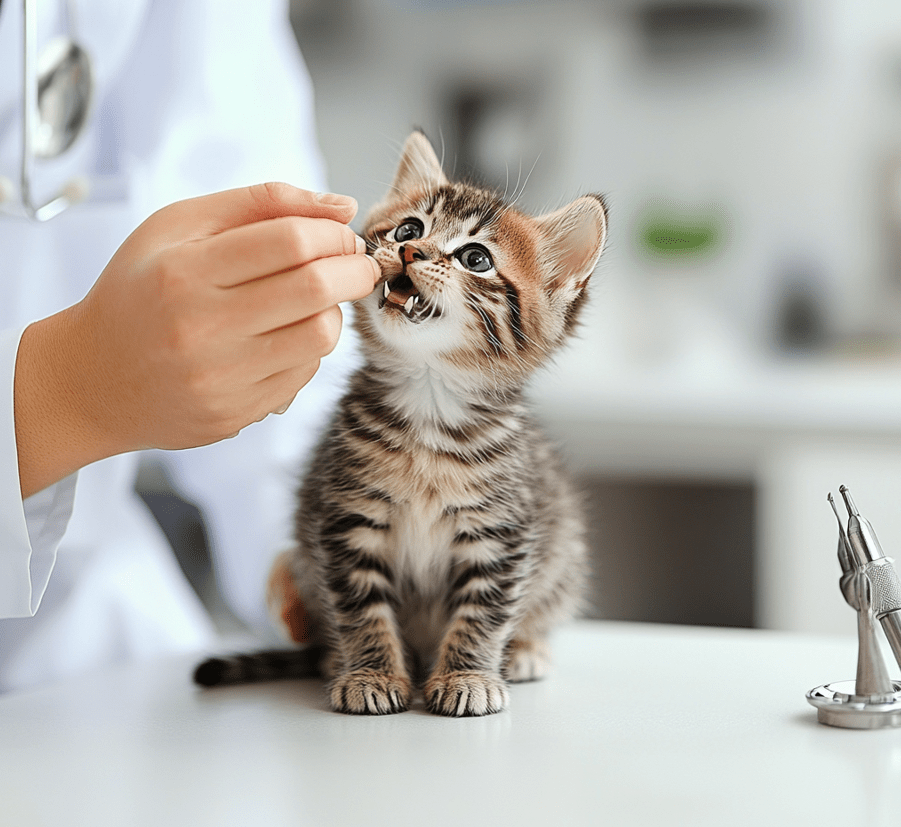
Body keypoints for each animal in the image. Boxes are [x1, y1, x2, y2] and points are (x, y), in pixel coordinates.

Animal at [194, 133, 608, 716]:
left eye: (476, 258)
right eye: (409, 229)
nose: (411, 252)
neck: (429, 405)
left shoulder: (500, 534)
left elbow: (483, 613)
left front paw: (466, 676)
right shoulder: (347, 520)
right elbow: (362, 608)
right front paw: (372, 673)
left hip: (564, 554)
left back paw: (525, 648)